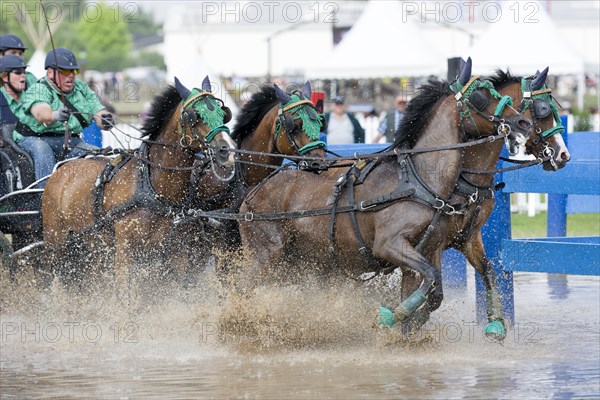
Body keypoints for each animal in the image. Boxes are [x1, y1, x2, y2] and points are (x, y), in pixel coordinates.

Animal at [41, 76, 234, 294]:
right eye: (195, 116)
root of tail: (61, 170)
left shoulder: (176, 251)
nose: (226, 151)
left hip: (90, 248)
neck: (152, 187)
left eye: (223, 114)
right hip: (57, 245)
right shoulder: (125, 249)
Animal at [237, 57, 532, 340]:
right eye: (480, 96)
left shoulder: (432, 246)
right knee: (240, 288)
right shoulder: (389, 244)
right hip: (267, 256)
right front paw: (392, 317)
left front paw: (410, 327)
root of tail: (253, 193)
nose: (523, 123)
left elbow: (440, 288)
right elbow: (429, 278)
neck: (419, 179)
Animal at [398, 66, 572, 338]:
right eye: (543, 110)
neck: (464, 176)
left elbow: (487, 272)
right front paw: (408, 320)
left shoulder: (468, 237)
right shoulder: (432, 241)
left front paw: (495, 323)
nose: (564, 155)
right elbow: (431, 287)